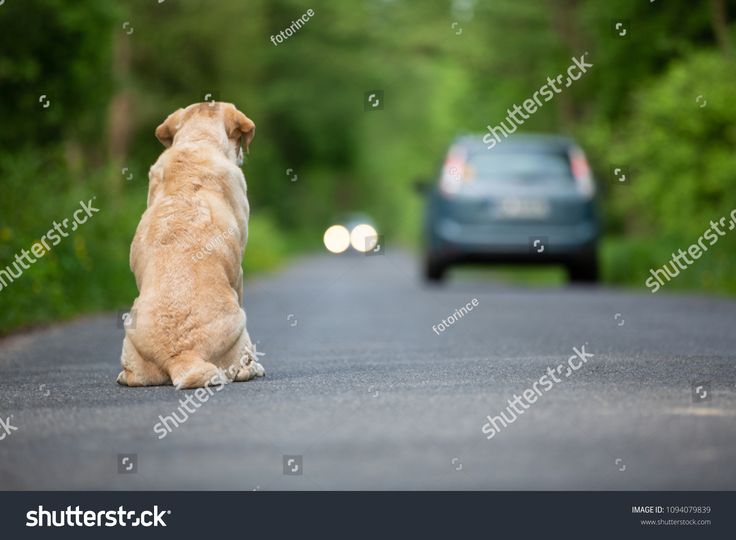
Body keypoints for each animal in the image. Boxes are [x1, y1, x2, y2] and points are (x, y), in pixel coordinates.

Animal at [115, 102, 264, 388]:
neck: (197, 142)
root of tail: (182, 355)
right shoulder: (239, 271)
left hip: (130, 331)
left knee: (133, 376)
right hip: (240, 325)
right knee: (241, 366)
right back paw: (253, 368)